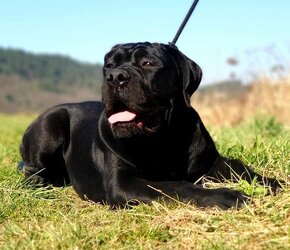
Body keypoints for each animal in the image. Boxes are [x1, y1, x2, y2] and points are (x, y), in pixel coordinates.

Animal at [19, 42, 280, 209]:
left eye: (148, 63)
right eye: (108, 66)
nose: (115, 76)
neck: (162, 138)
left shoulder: (211, 162)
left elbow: (238, 167)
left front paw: (272, 182)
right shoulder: (124, 183)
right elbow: (176, 186)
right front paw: (225, 195)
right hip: (50, 125)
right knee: (31, 168)